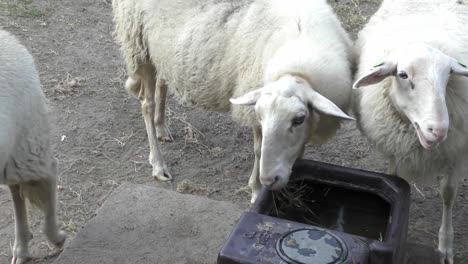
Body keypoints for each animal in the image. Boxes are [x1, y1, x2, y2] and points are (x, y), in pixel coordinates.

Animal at [0, 30, 66, 264]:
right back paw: (22, 249)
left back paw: (55, 236)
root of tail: (11, 39)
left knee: (47, 174)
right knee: (17, 190)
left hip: (26, 142)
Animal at [113, 0, 352, 203]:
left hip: (161, 51)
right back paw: (158, 165)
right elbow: (258, 150)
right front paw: (256, 190)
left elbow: (298, 153)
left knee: (162, 83)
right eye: (260, 116)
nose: (270, 179)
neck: (296, 70)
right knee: (147, 104)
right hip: (138, 42)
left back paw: (162, 127)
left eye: (299, 119)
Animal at [352, 1, 468, 262]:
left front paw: (446, 245)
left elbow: (448, 193)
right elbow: (397, 182)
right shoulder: (395, 150)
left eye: (448, 76)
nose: (438, 130)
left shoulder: (455, 152)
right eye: (403, 75)